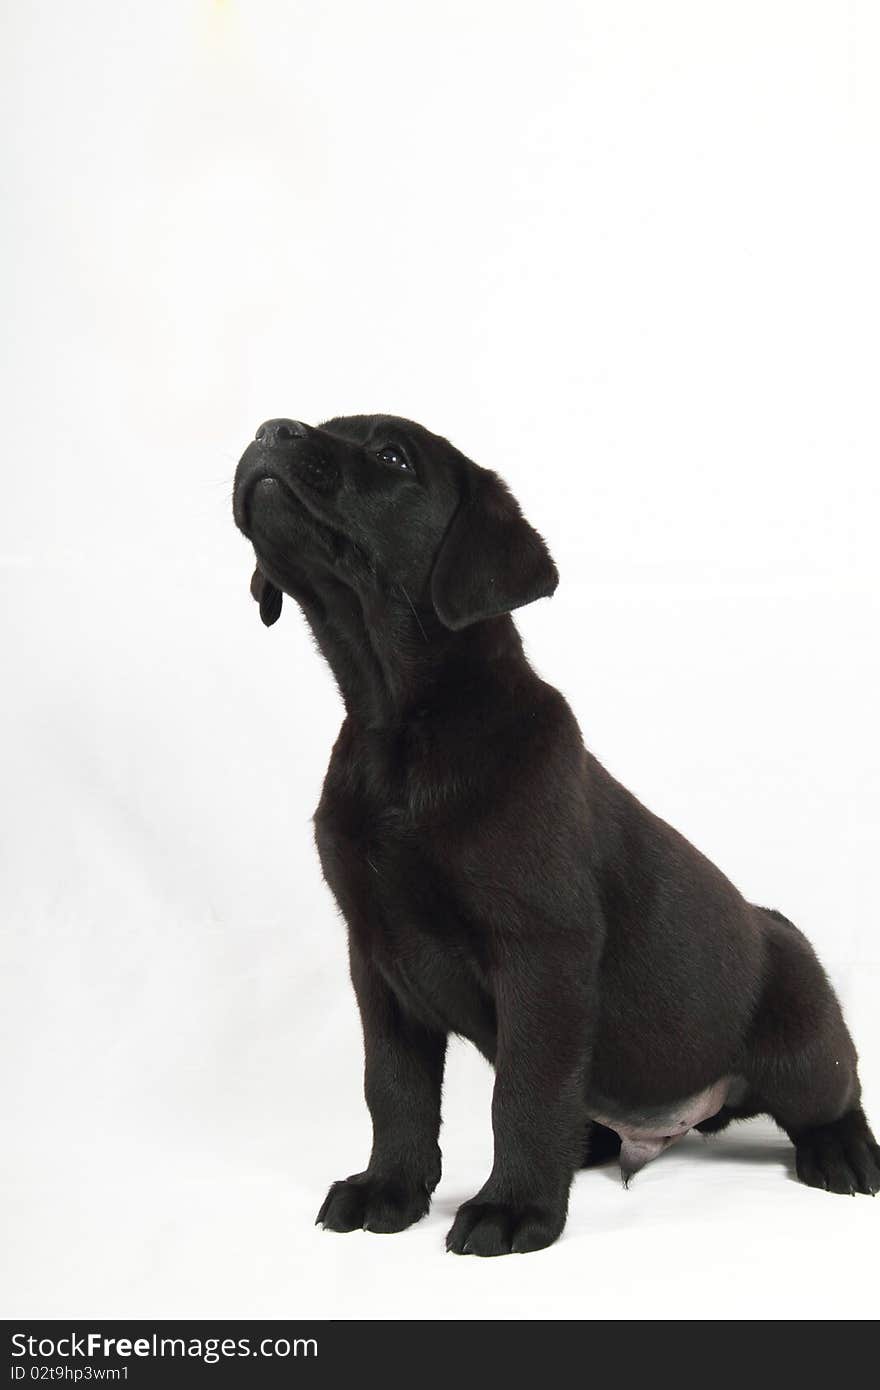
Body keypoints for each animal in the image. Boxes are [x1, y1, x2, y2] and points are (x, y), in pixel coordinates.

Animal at [229, 414, 873, 1262]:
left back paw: (844, 1151)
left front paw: (514, 1209)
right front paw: (389, 1189)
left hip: (803, 1047)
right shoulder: (377, 958)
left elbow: (525, 1092)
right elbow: (394, 1089)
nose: (270, 429)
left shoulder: (542, 950)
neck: (402, 728)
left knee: (835, 1090)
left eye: (392, 456)